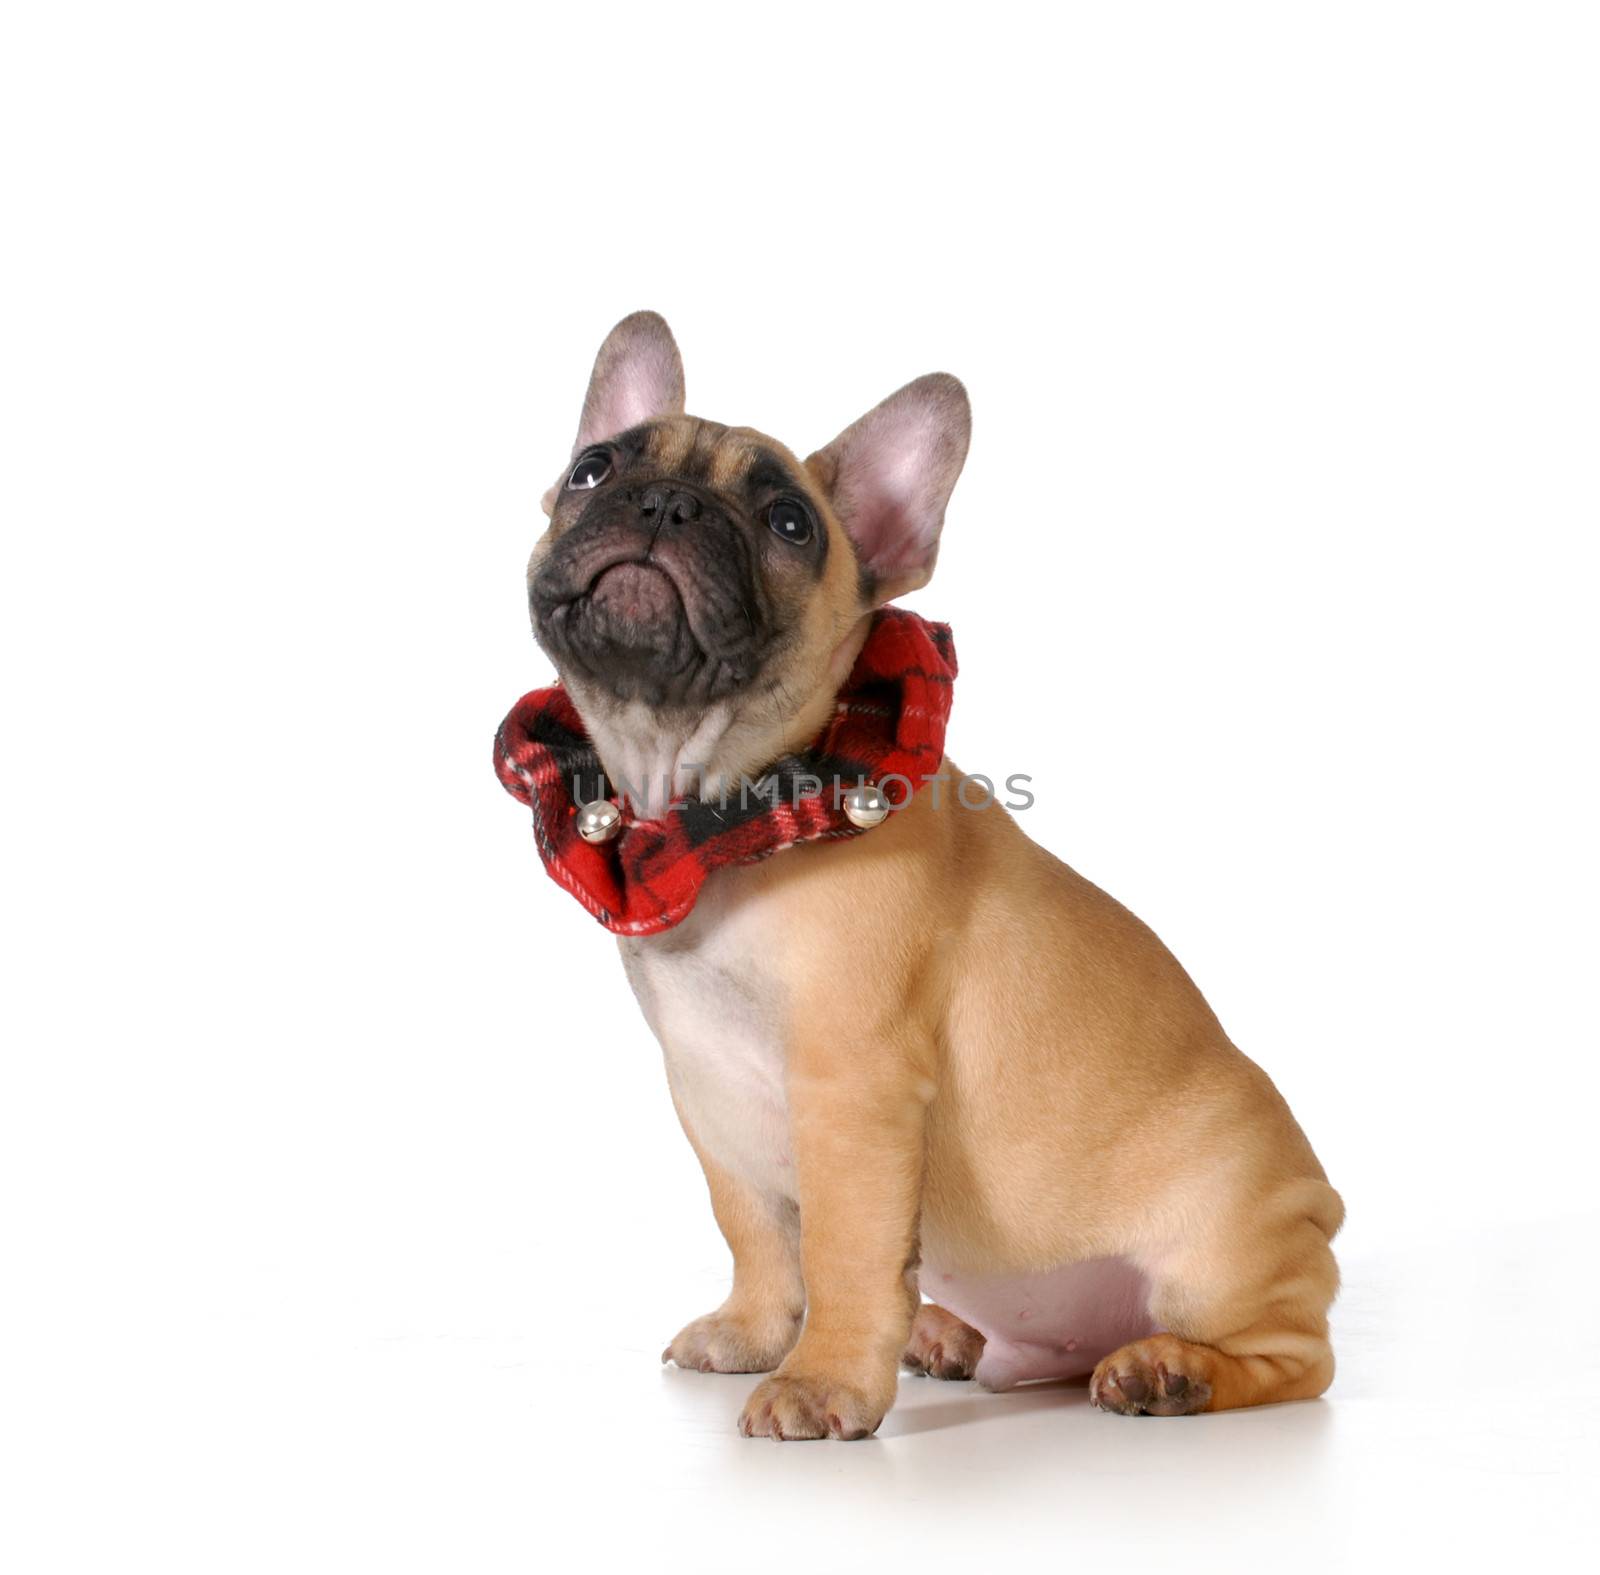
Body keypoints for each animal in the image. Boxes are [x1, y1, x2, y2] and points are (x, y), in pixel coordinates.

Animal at [521, 307, 1337, 1440]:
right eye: (592, 469)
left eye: (789, 522)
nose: (664, 502)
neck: (717, 810)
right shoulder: (708, 1090)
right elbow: (754, 1228)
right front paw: (754, 1331)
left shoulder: (851, 1085)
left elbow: (846, 1248)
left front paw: (821, 1382)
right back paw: (950, 1337)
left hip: (1221, 1253)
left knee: (1294, 1359)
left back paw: (1171, 1373)